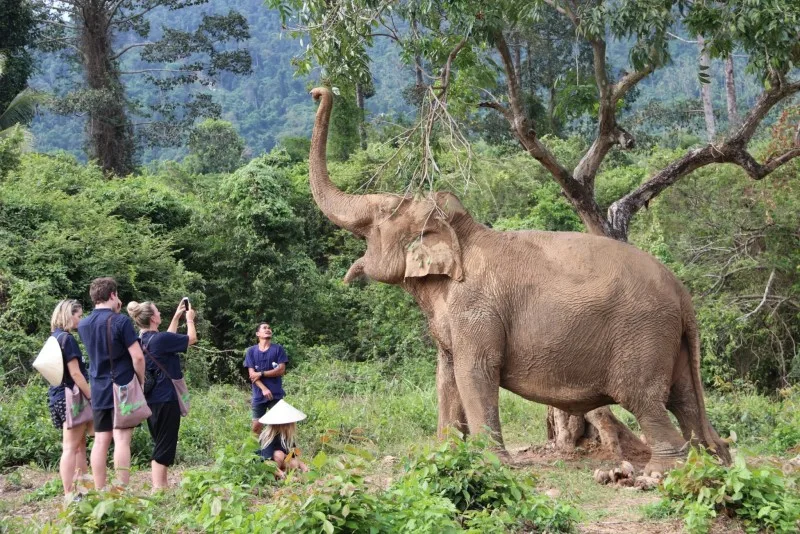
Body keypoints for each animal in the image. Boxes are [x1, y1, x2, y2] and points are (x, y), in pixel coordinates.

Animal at [308, 87, 730, 474]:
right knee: (683, 398)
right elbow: (446, 376)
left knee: (645, 399)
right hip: (670, 340)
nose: (319, 90)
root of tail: (683, 294)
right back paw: (713, 460)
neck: (463, 233)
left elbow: (475, 373)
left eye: (378, 218)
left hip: (643, 336)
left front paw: (491, 464)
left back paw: (658, 473)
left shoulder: (475, 310)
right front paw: (442, 457)